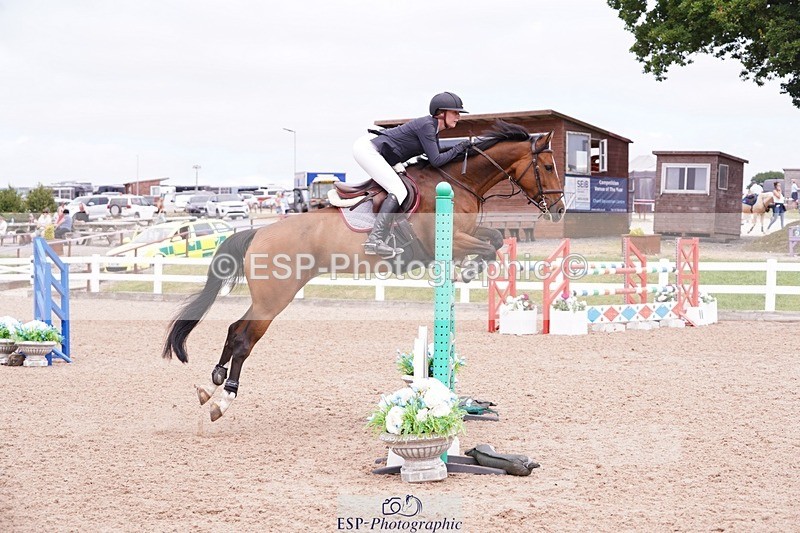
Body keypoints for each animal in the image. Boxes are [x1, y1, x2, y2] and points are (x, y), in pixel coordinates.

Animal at [162, 120, 566, 421]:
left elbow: (495, 239)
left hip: (269, 296)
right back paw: (224, 399)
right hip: (275, 297)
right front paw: (466, 272)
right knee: (245, 338)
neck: (458, 183)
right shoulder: (449, 238)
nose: (560, 208)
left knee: (235, 330)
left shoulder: (468, 233)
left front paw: (468, 272)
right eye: (547, 166)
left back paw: (212, 383)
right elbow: (487, 246)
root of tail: (259, 231)